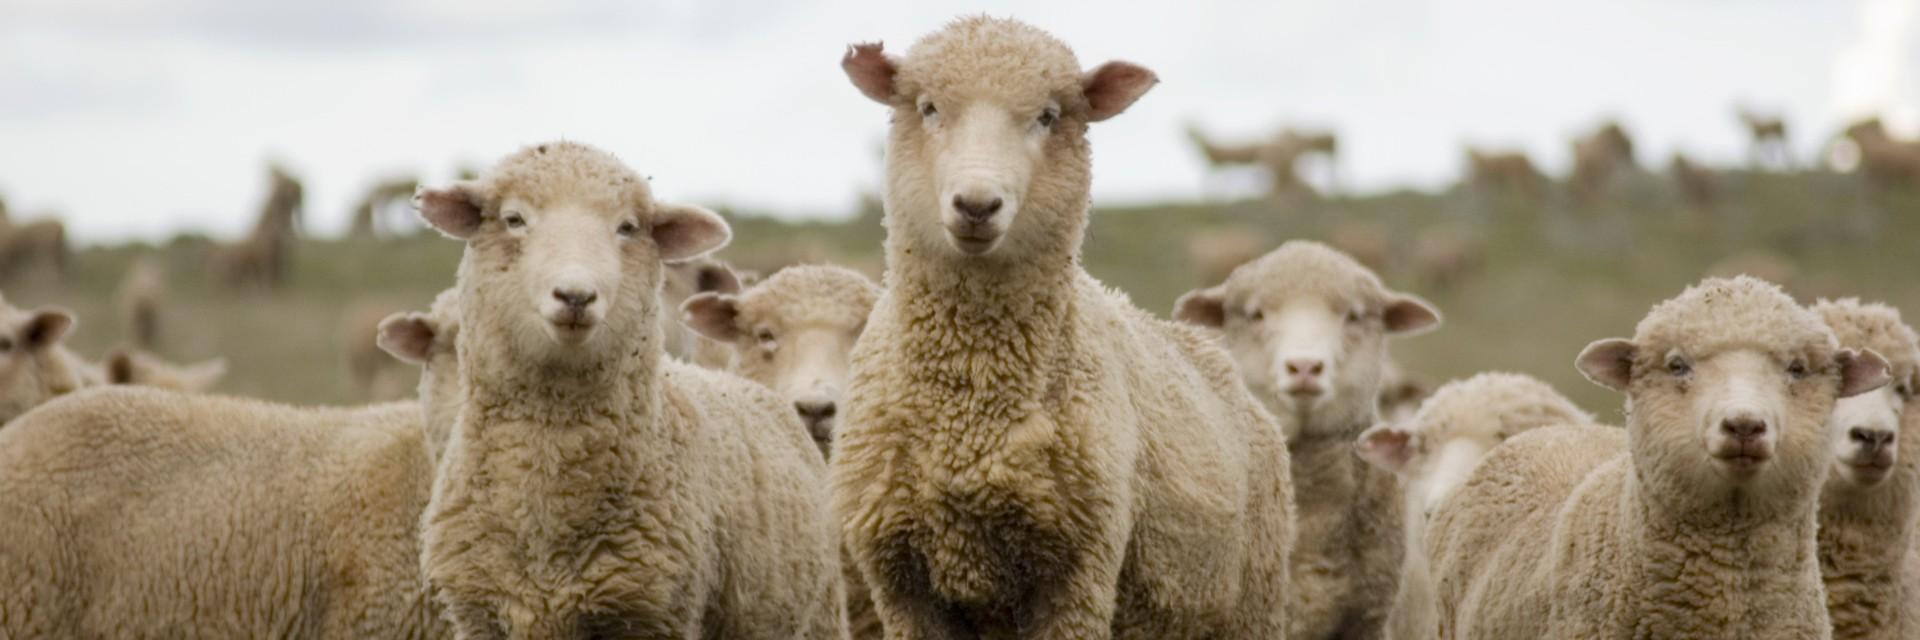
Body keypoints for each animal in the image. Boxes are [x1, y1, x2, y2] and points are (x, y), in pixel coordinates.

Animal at [838, 17, 1295, 637]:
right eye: (928, 107)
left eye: (1048, 116)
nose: (977, 205)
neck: (970, 415)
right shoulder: (901, 585)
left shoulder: (1079, 575)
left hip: (1252, 604)